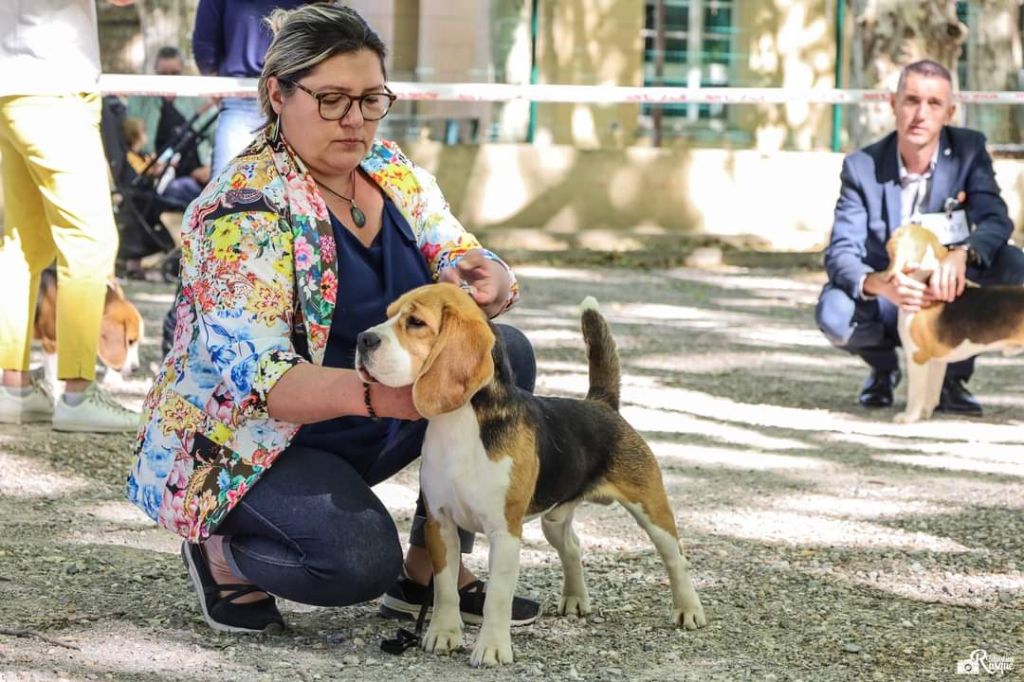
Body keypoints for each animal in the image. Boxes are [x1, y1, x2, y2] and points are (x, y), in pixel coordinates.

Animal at [355, 283, 706, 667]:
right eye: (388, 315)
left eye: (416, 322)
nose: (362, 339)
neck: (461, 422)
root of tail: (600, 404)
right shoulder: (439, 523)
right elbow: (445, 588)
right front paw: (443, 633)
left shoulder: (505, 532)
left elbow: (497, 597)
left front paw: (492, 647)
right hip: (555, 518)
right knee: (572, 546)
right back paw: (575, 599)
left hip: (651, 507)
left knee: (675, 557)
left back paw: (688, 610)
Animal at [885, 224, 1024, 423]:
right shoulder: (937, 361)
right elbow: (932, 391)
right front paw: (925, 414)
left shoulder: (917, 356)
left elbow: (916, 393)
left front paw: (908, 417)